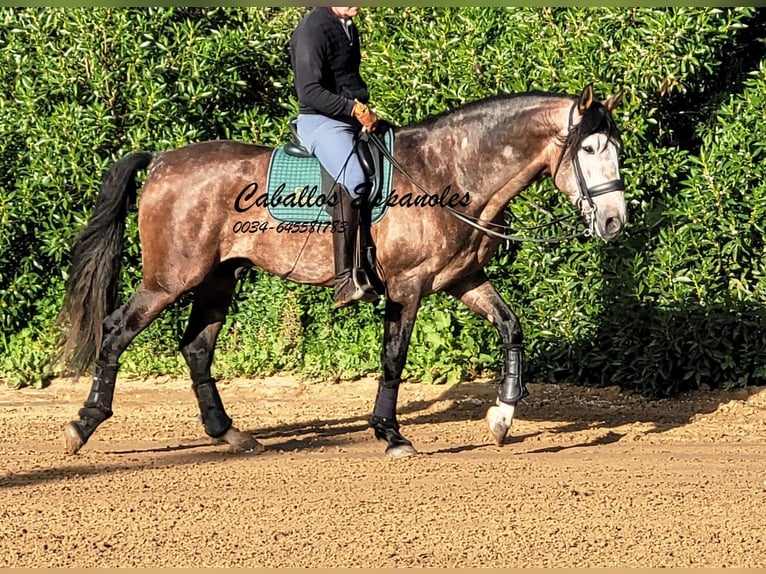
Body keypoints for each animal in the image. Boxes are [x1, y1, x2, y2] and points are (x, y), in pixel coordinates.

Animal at [58, 83, 624, 460]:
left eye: (616, 150)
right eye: (590, 149)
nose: (614, 223)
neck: (450, 171)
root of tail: (160, 161)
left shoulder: (461, 280)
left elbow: (511, 327)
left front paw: (503, 417)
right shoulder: (407, 287)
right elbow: (394, 358)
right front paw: (391, 435)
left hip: (219, 278)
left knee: (197, 347)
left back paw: (229, 433)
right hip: (170, 279)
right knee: (116, 330)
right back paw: (83, 425)